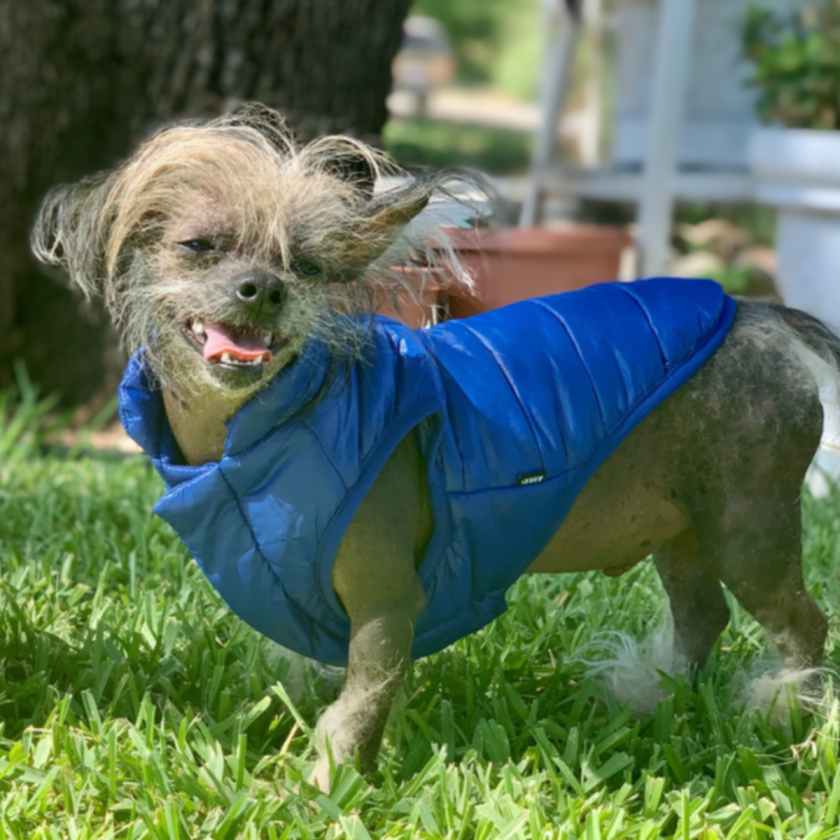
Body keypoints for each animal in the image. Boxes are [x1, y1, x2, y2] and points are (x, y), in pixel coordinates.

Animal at [31, 103, 840, 788]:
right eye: (198, 247)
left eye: (308, 266)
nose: (263, 288)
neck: (259, 437)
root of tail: (760, 313)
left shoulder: (389, 606)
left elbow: (361, 704)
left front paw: (327, 789)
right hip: (683, 528)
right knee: (703, 617)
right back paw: (651, 694)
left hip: (747, 526)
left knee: (803, 624)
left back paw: (785, 714)